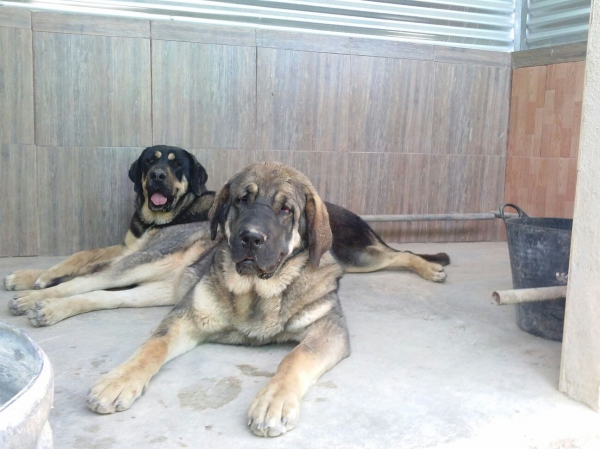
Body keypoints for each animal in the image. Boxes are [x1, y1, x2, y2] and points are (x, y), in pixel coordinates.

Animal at [3, 147, 446, 326]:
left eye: (174, 164)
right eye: (150, 162)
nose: (157, 175)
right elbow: (85, 263)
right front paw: (36, 283)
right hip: (146, 266)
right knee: (93, 279)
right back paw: (32, 294)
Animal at [86, 163, 352, 436]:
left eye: (286, 209)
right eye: (242, 199)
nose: (251, 237)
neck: (256, 291)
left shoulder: (329, 330)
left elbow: (296, 357)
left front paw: (273, 401)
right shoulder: (187, 317)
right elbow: (154, 345)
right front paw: (120, 379)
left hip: (159, 289)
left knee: (106, 296)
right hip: (149, 262)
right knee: (91, 279)